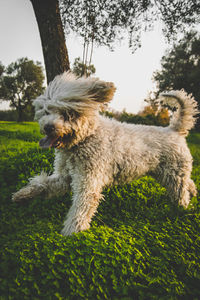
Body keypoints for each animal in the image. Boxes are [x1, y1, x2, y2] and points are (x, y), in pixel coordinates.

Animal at [12, 71, 198, 236]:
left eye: (68, 113)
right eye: (46, 110)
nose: (48, 127)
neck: (86, 137)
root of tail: (174, 130)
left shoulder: (89, 181)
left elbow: (81, 207)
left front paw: (71, 233)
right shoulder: (64, 177)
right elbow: (42, 183)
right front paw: (23, 194)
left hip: (173, 175)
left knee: (181, 193)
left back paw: (182, 208)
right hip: (165, 173)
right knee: (189, 182)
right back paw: (194, 192)